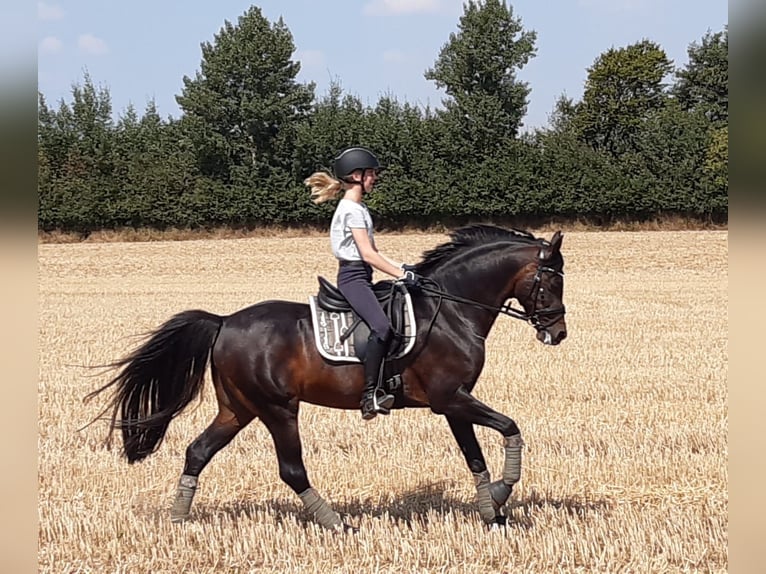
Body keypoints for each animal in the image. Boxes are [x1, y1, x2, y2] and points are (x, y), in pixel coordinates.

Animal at [87, 224, 568, 532]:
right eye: (550, 284)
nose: (558, 333)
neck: (450, 310)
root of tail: (223, 322)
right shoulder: (450, 397)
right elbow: (510, 428)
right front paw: (503, 495)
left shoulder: (453, 402)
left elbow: (475, 456)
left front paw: (493, 511)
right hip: (278, 409)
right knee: (291, 470)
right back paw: (339, 523)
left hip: (238, 408)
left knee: (197, 451)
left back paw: (177, 520)